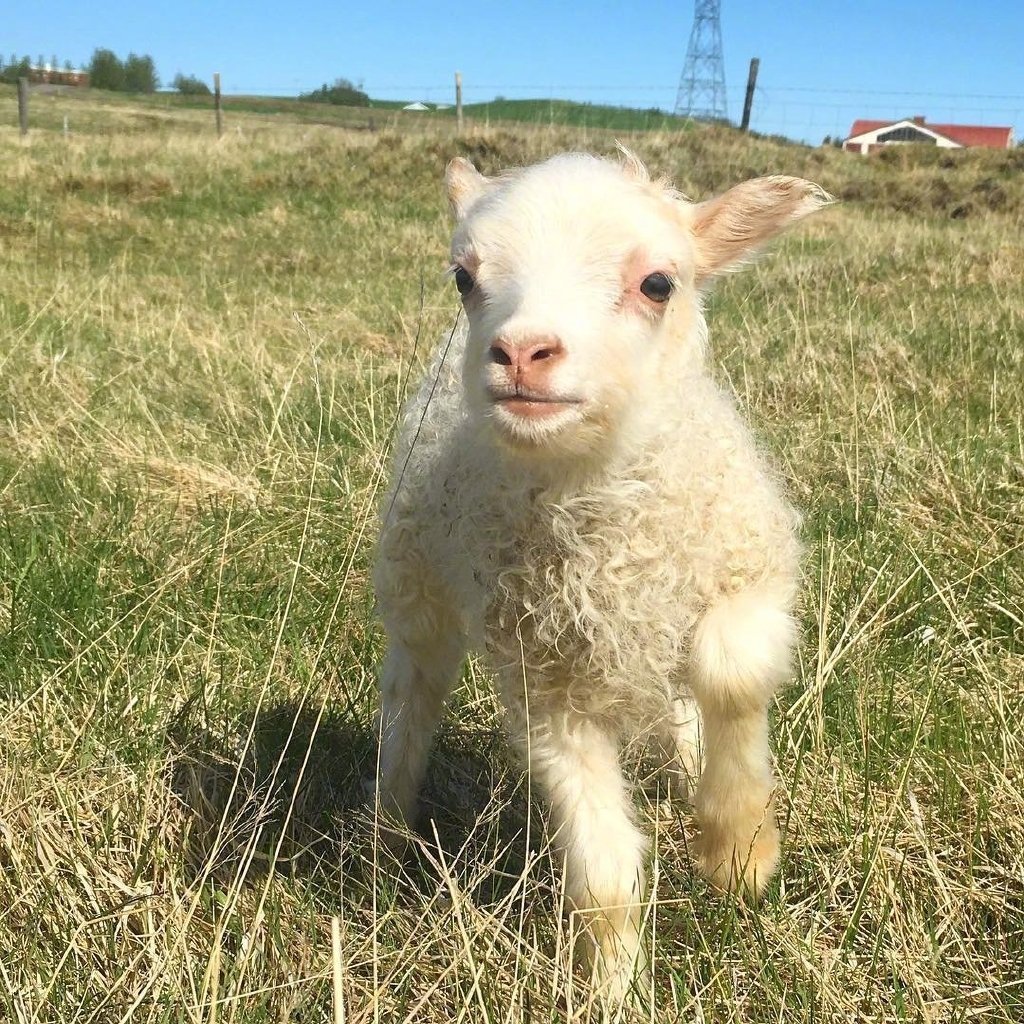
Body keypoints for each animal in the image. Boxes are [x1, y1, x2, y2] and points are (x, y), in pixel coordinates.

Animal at [372, 149, 827, 999]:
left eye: (658, 283)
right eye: (464, 277)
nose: (522, 353)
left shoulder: (747, 571)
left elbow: (732, 675)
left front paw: (738, 853)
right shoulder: (548, 688)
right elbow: (604, 871)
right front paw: (614, 988)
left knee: (682, 697)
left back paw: (690, 769)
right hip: (415, 583)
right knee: (409, 698)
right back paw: (385, 831)